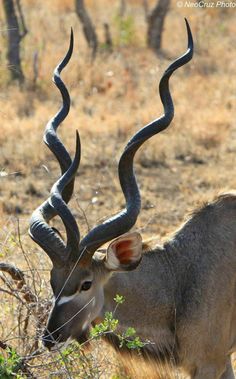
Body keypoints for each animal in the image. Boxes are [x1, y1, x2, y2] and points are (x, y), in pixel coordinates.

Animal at [30, 21, 236, 379]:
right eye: (55, 281)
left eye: (85, 284)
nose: (50, 338)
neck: (177, 274)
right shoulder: (220, 362)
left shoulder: (212, 361)